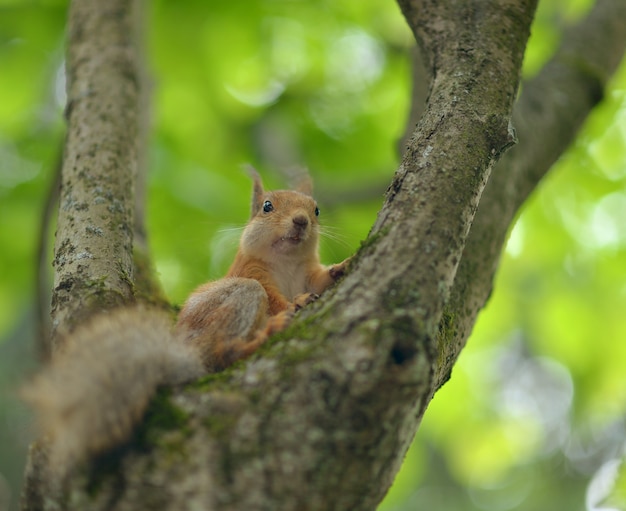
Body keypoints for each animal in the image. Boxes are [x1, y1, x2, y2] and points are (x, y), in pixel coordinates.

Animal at [22, 171, 348, 476]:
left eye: (316, 209)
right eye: (267, 206)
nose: (301, 221)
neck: (288, 262)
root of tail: (189, 352)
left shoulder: (308, 272)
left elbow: (320, 279)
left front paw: (341, 267)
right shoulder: (253, 272)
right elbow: (275, 298)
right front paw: (294, 303)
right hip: (238, 297)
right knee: (223, 351)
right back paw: (266, 332)